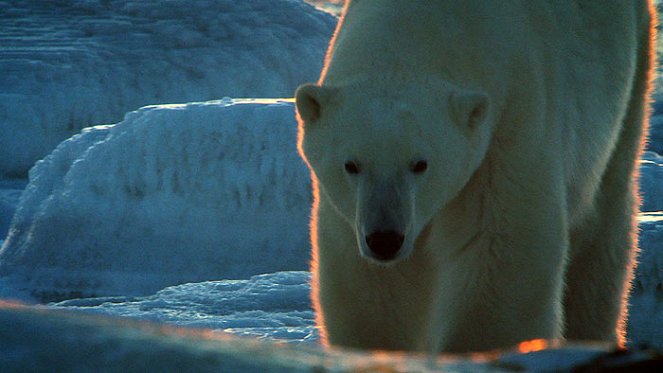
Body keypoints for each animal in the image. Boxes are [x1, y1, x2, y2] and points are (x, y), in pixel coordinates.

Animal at [296, 0, 660, 352]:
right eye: (351, 165)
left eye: (420, 164)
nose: (385, 239)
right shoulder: (350, 209)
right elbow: (370, 281)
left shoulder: (511, 121)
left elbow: (501, 246)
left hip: (631, 81)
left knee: (602, 220)